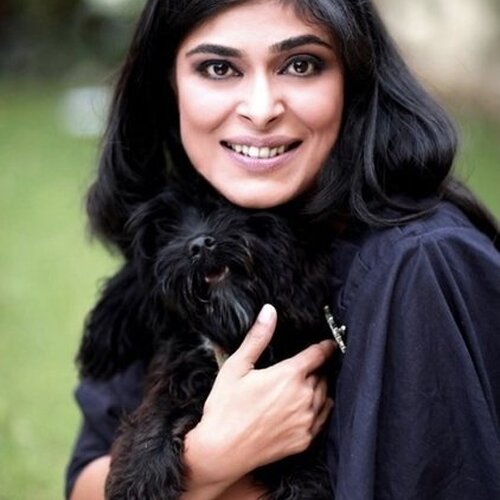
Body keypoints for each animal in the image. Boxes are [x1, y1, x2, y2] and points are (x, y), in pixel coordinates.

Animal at [78, 188, 342, 499]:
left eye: (223, 206)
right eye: (165, 228)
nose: (200, 246)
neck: (232, 331)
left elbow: (304, 467)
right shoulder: (178, 376)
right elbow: (157, 413)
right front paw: (140, 477)